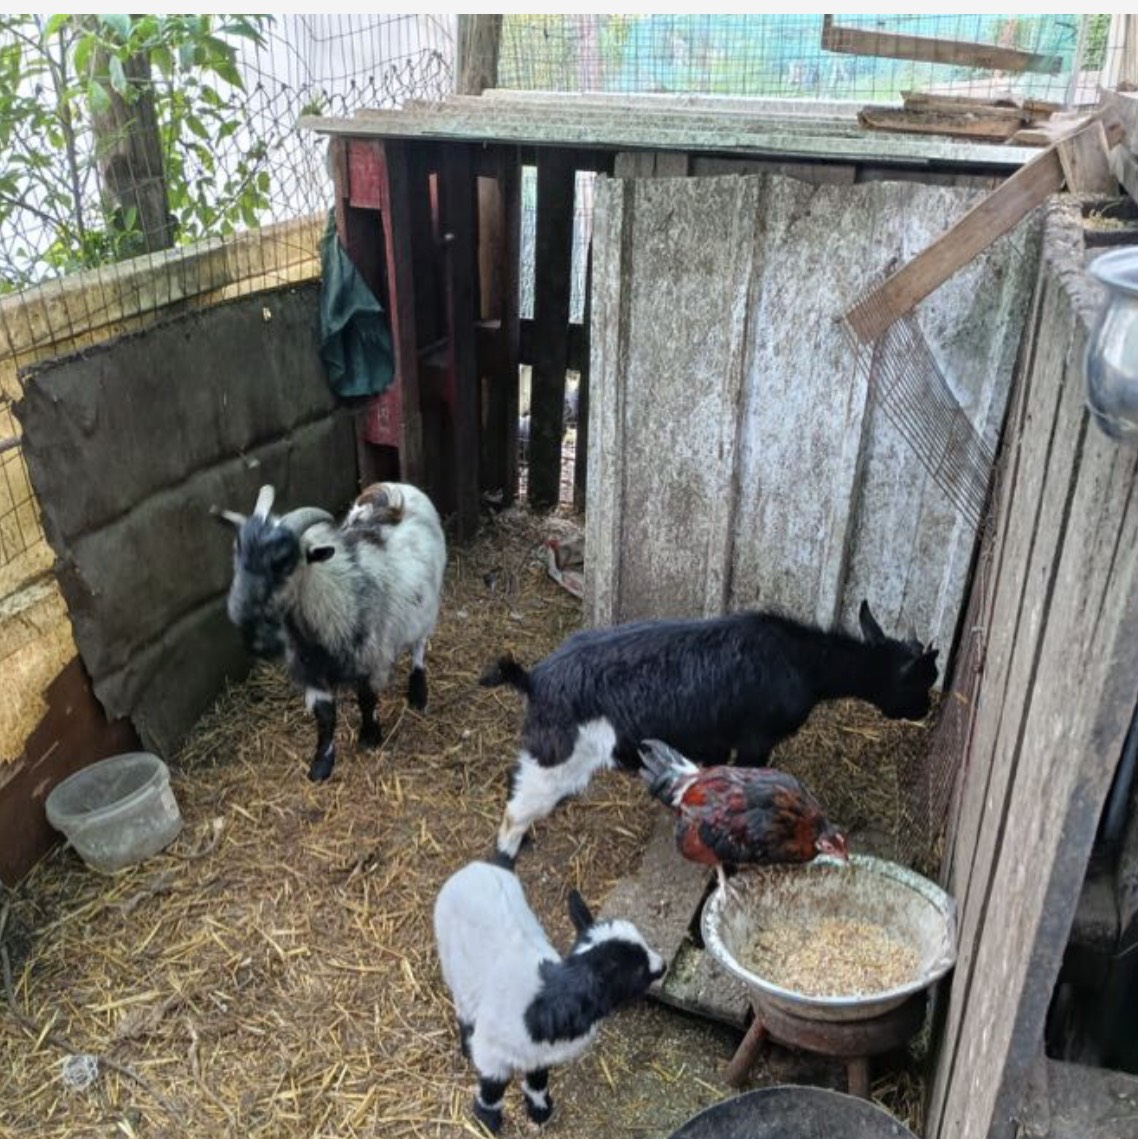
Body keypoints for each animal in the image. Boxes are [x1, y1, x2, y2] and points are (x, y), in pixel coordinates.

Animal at [213, 482, 446, 782]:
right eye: (237, 552)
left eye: (285, 561)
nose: (239, 612)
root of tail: (396, 488)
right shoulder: (310, 671)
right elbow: (325, 717)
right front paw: (321, 764)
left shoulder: (371, 659)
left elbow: (367, 701)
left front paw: (370, 737)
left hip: (427, 606)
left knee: (419, 646)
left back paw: (418, 692)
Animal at [433, 860, 665, 1133]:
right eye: (637, 969)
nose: (663, 966)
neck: (541, 1003)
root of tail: (483, 865)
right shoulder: (491, 1053)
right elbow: (493, 1087)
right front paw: (488, 1120)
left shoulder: (539, 1055)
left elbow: (538, 1080)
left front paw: (539, 1110)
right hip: (451, 963)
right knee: (464, 1010)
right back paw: (466, 1046)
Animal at [480, 600, 938, 864]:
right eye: (923, 680)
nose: (927, 708)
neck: (803, 661)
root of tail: (534, 678)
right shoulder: (756, 740)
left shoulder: (718, 742)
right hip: (558, 759)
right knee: (514, 814)